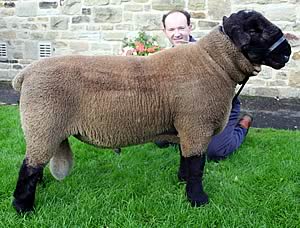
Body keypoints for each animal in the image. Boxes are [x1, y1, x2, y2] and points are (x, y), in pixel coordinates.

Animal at [11, 10, 290, 214]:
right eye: (255, 30)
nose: (287, 51)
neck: (214, 62)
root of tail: (25, 74)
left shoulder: (186, 128)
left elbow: (186, 160)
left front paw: (182, 182)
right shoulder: (197, 125)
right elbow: (197, 167)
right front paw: (198, 200)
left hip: (43, 129)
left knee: (34, 164)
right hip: (43, 123)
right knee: (28, 168)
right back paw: (23, 208)